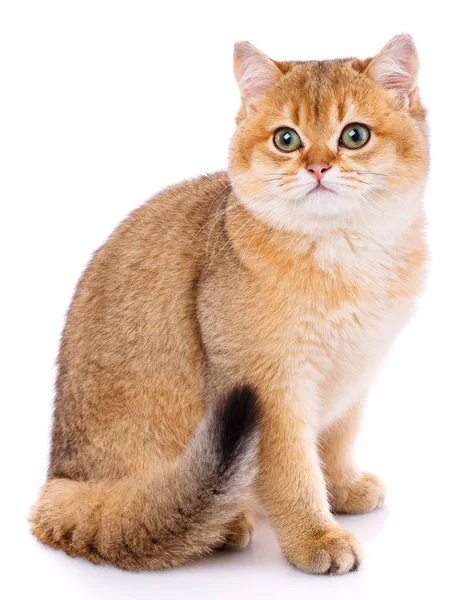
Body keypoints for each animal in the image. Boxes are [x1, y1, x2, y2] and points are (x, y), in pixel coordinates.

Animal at [31, 34, 430, 576]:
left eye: (354, 135)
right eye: (286, 139)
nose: (318, 167)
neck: (344, 258)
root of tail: (60, 479)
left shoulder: (355, 373)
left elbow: (335, 443)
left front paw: (342, 489)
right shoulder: (271, 385)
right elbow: (293, 473)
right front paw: (315, 536)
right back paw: (224, 525)